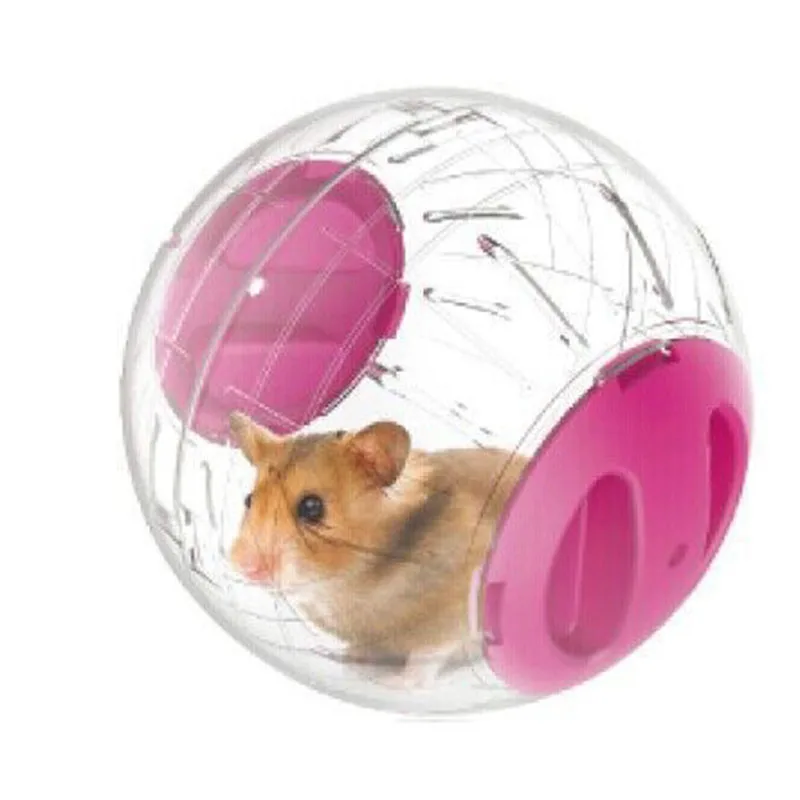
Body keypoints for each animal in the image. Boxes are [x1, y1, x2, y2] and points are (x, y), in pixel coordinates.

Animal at [228, 412, 527, 686]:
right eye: (248, 500)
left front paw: (394, 683)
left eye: (312, 508)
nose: (243, 566)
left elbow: (427, 656)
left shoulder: (454, 615)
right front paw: (350, 659)